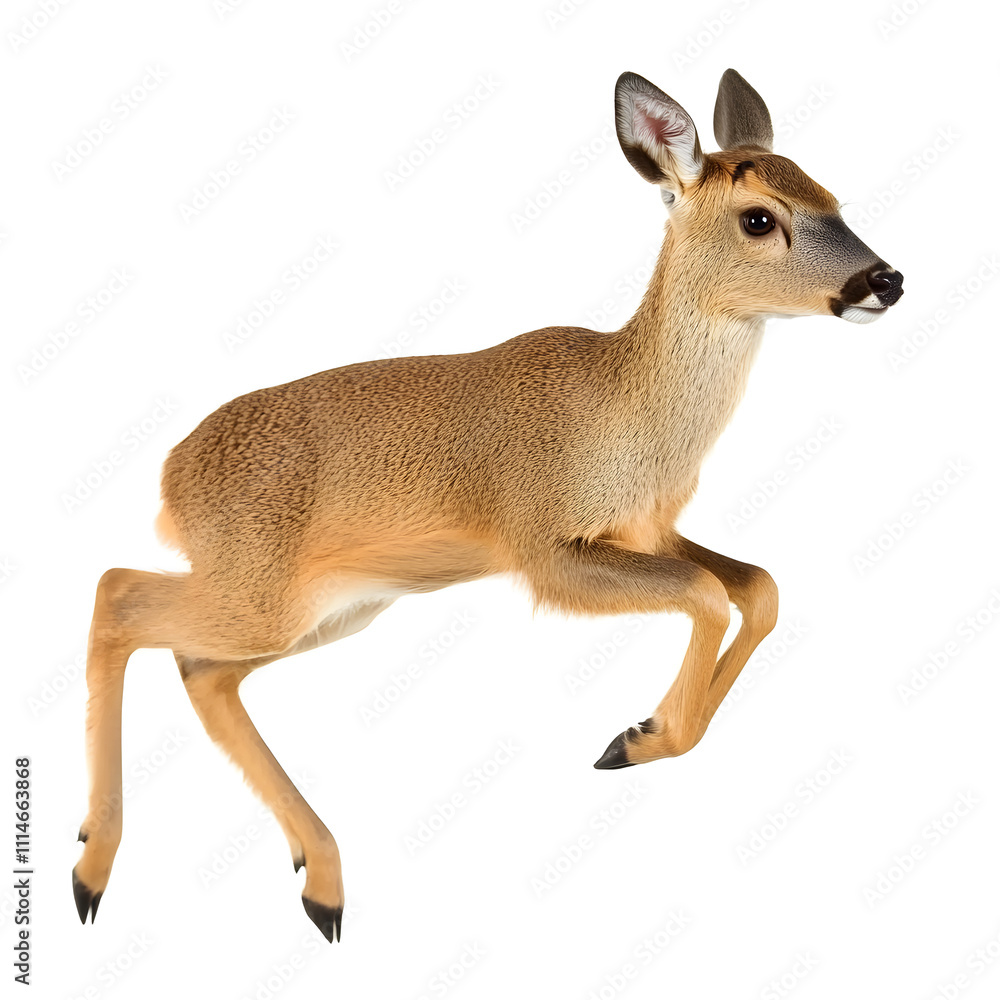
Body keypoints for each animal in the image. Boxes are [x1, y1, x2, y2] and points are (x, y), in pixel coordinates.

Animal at [72, 68, 904, 943]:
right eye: (760, 217)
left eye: (832, 196)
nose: (885, 280)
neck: (628, 416)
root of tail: (170, 479)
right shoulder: (543, 549)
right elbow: (710, 595)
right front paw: (635, 739)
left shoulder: (651, 529)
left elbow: (760, 587)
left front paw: (637, 736)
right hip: (259, 593)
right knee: (118, 594)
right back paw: (92, 870)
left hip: (332, 607)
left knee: (198, 666)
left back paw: (319, 883)